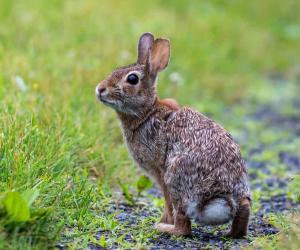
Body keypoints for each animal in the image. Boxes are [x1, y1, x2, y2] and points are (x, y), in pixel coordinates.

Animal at [95, 32, 251, 238]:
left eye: (132, 79)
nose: (100, 89)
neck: (146, 113)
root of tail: (222, 197)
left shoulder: (160, 172)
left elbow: (167, 203)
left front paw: (163, 220)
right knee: (244, 207)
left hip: (176, 178)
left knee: (183, 226)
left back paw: (163, 227)